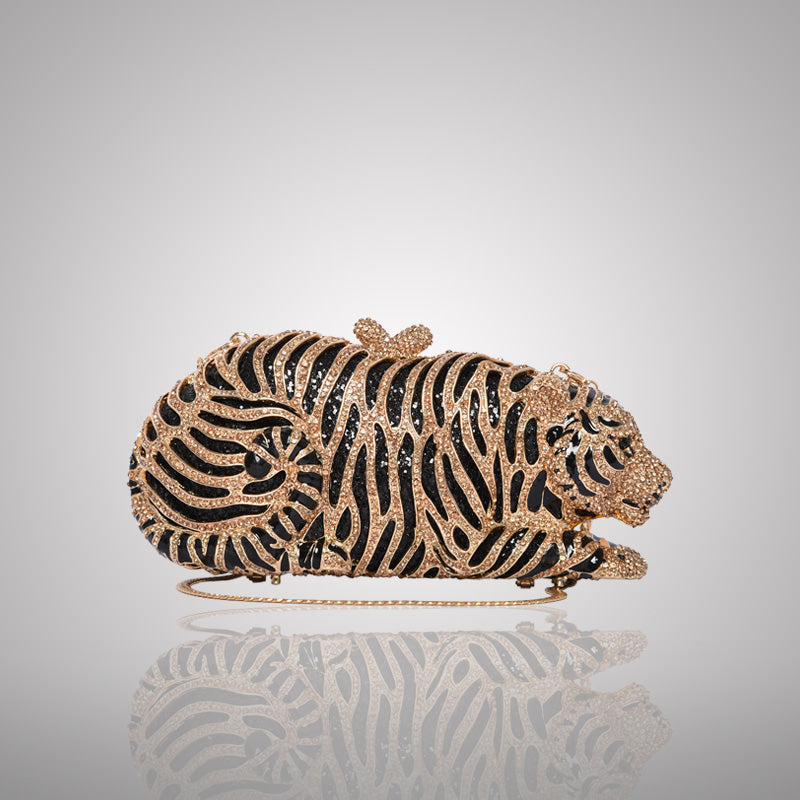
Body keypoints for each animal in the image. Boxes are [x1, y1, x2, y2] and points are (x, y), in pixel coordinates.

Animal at [128, 318, 671, 587]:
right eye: (624, 442)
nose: (666, 482)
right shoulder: (469, 548)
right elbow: (567, 548)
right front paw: (622, 561)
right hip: (282, 442)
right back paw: (321, 557)